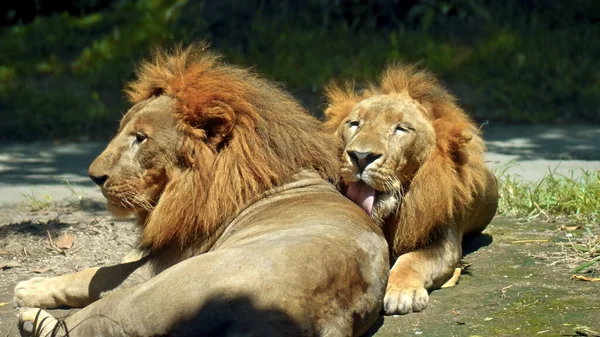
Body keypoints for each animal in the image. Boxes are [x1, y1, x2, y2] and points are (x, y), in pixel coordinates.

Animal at [15, 44, 390, 334]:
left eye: (141, 138)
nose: (94, 177)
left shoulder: (161, 263)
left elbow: (95, 273)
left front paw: (30, 286)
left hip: (149, 293)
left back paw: (31, 318)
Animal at [326, 63, 500, 316]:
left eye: (401, 129)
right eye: (354, 123)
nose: (360, 156)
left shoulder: (444, 241)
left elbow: (413, 259)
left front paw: (400, 292)